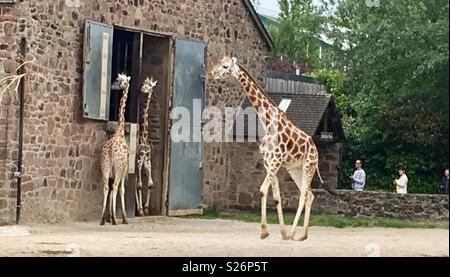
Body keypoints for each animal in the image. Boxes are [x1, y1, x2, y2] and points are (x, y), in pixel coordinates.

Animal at [206, 55, 326, 239]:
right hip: (295, 169)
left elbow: (262, 190)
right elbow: (276, 197)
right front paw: (281, 232)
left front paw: (265, 231)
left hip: (308, 166)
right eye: (218, 62)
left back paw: (293, 233)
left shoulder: (275, 161)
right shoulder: (269, 162)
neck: (267, 123)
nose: (210, 74)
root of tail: (316, 150)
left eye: (225, 66)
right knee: (310, 195)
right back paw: (302, 235)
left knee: (304, 195)